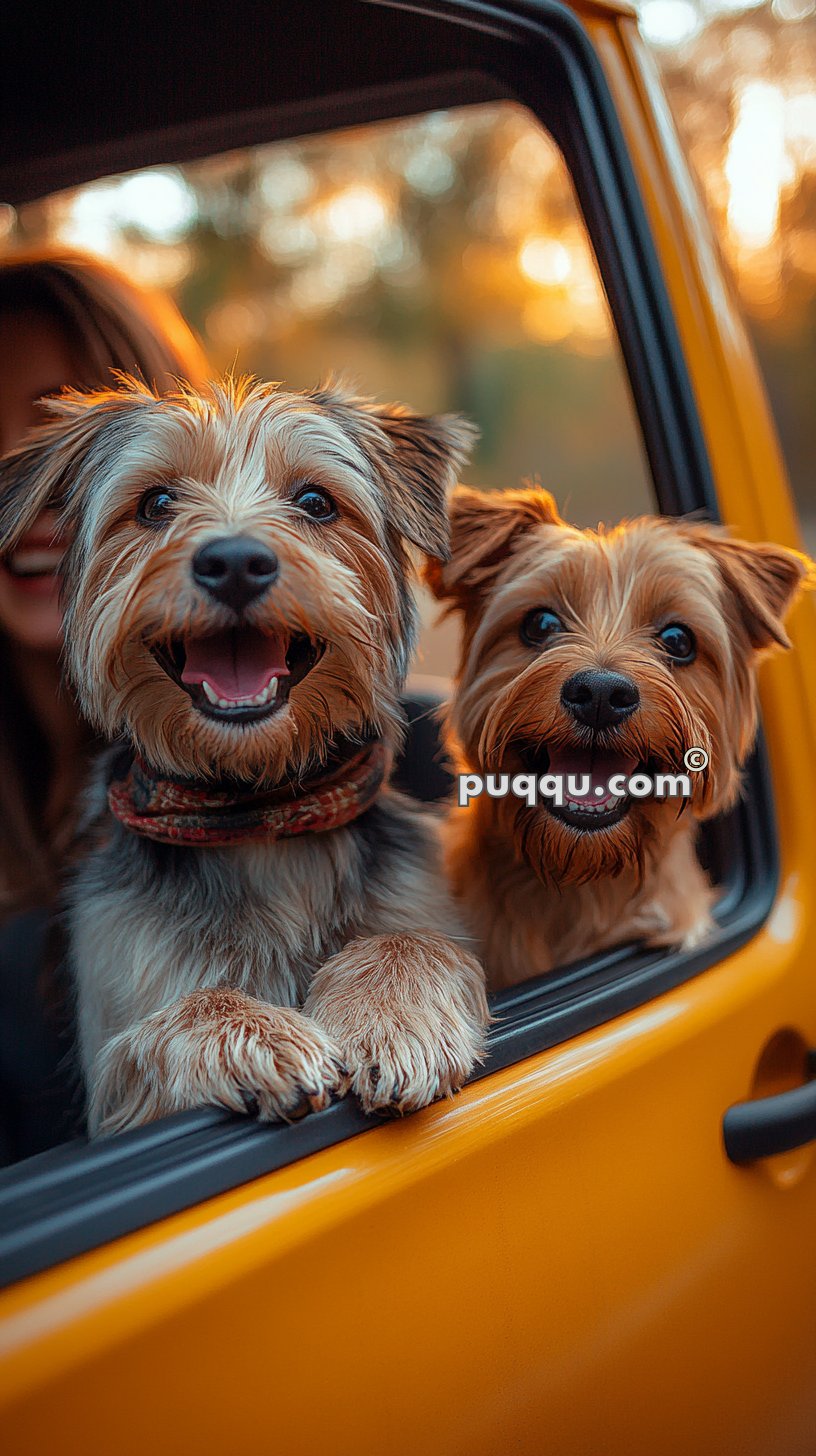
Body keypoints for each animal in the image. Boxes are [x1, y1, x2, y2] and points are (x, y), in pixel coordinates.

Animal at [0, 378, 483, 1135]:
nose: (233, 562)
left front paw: (394, 1020)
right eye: (155, 504)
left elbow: (411, 940)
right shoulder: (119, 1029)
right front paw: (257, 1035)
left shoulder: (418, 900)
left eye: (315, 502)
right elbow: (173, 1018)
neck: (260, 811)